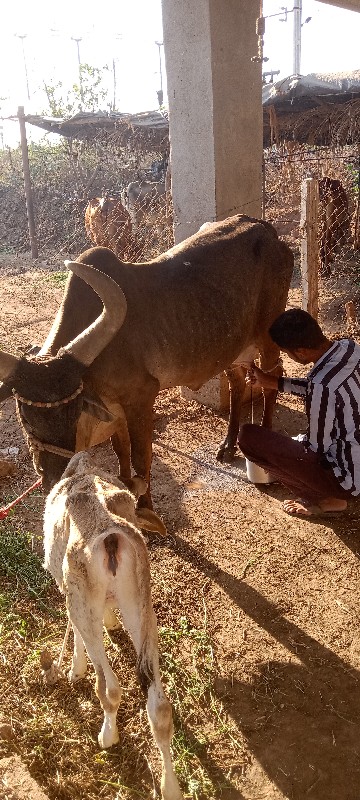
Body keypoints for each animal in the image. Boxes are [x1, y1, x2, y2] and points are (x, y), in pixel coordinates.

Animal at [0, 216, 292, 510]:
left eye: (75, 411)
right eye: (25, 418)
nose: (55, 478)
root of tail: (268, 230)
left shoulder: (141, 399)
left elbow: (142, 461)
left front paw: (146, 507)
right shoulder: (116, 411)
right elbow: (122, 455)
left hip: (268, 339)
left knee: (273, 376)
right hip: (232, 348)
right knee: (238, 383)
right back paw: (228, 445)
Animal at [43, 450, 183, 800]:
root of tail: (110, 537)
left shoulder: (68, 590)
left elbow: (75, 632)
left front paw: (74, 669)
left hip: (83, 600)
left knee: (110, 687)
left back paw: (107, 736)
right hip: (141, 606)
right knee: (160, 708)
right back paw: (171, 787)